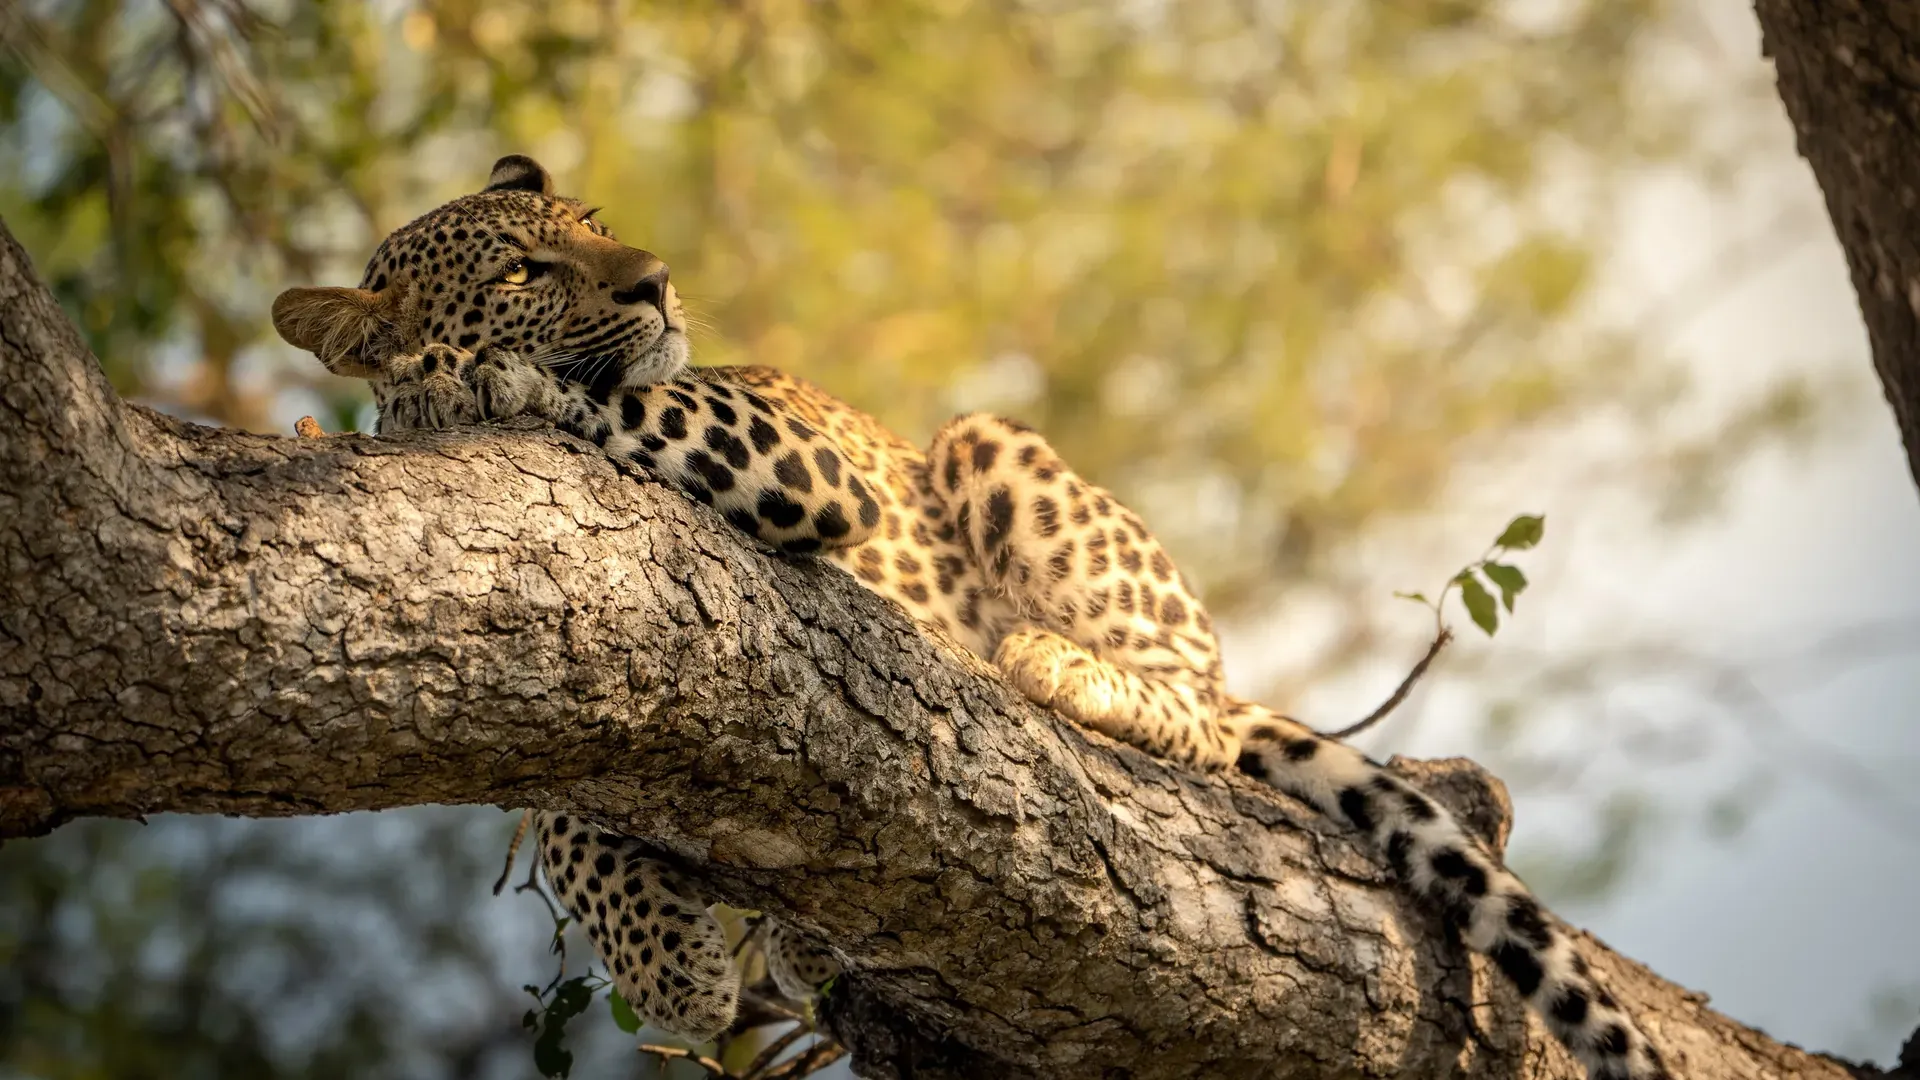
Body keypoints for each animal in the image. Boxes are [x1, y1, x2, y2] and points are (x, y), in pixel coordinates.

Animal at [272, 154, 1673, 1080]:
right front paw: (673, 965)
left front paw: (479, 383)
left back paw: (1048, 663)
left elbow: (617, 397)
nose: (660, 282)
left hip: (988, 447)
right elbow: (569, 824)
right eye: (526, 265)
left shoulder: (777, 445)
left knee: (1205, 713)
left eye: (599, 227)